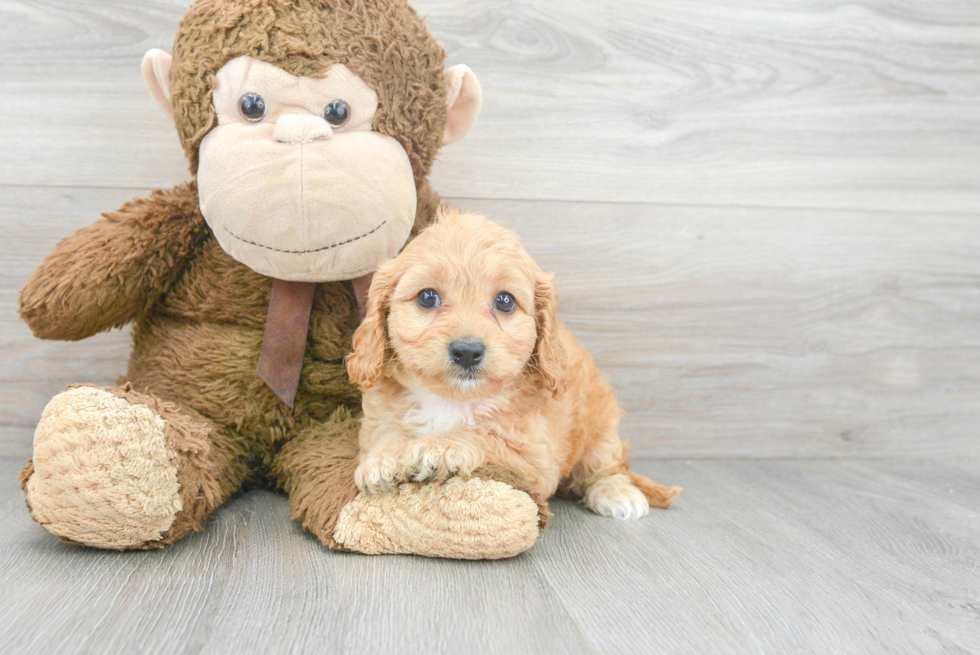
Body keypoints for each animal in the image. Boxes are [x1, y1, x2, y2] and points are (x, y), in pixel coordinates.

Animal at [346, 208, 680, 520]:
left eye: (504, 302)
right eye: (427, 297)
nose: (467, 351)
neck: (452, 401)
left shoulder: (535, 457)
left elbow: (487, 438)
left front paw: (440, 446)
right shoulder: (378, 418)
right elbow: (387, 433)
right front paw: (383, 457)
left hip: (600, 428)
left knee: (608, 466)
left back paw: (618, 493)